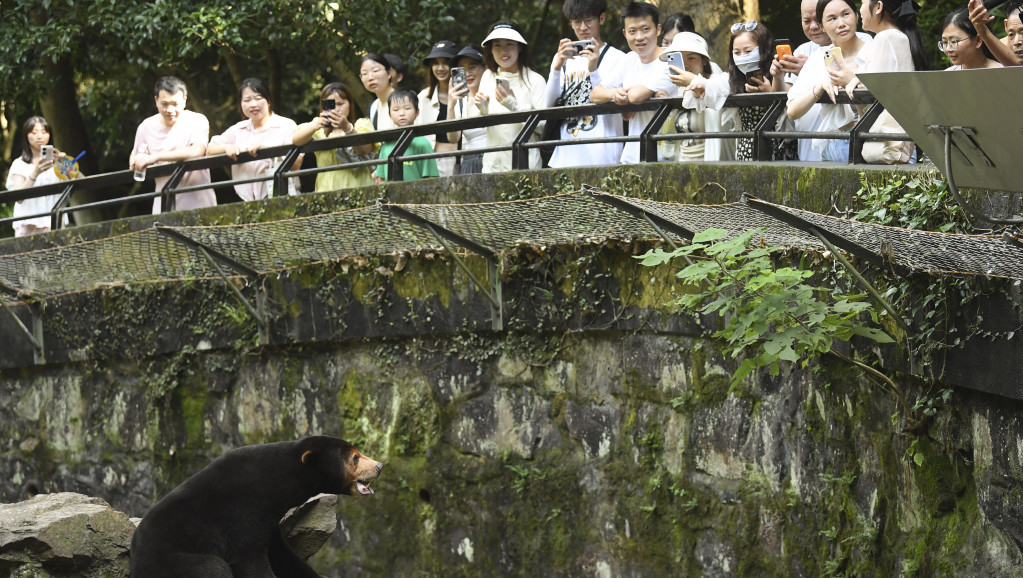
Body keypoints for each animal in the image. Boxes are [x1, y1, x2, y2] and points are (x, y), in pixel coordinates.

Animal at [129, 435, 382, 572]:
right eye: (355, 457)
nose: (379, 466)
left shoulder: (270, 521)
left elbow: (283, 555)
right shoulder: (244, 512)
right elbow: (250, 559)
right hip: (174, 560)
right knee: (213, 568)